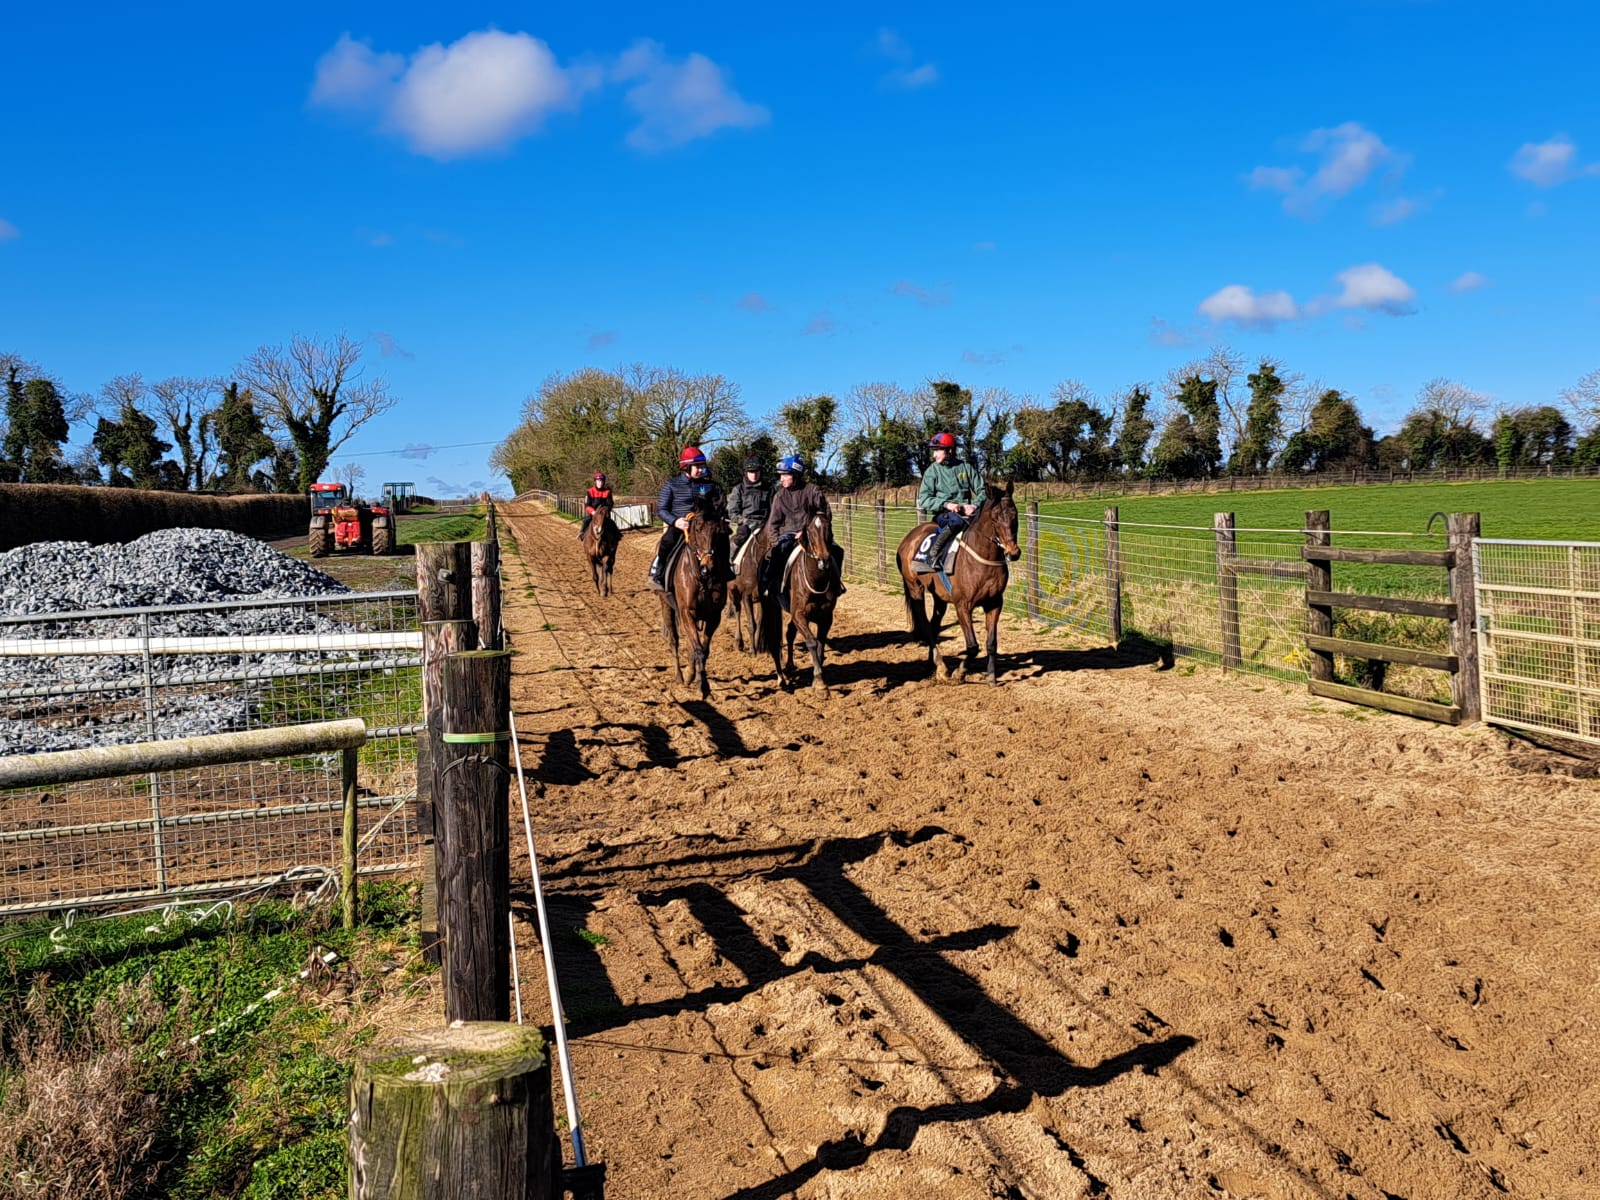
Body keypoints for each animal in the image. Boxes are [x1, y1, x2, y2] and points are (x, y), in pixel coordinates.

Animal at [656, 499, 732, 704]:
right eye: (697, 528)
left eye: (719, 530)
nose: (708, 566)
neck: (701, 577)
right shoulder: (687, 612)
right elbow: (697, 649)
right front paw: (703, 687)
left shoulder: (713, 616)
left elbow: (703, 650)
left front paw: (699, 681)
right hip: (666, 606)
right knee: (674, 640)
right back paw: (680, 676)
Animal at [729, 524, 771, 652]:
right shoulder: (746, 596)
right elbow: (751, 624)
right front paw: (752, 650)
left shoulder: (763, 598)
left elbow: (759, 622)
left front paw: (758, 647)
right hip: (732, 591)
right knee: (737, 610)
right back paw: (738, 642)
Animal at [758, 508, 844, 694]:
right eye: (810, 531)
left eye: (829, 528)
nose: (824, 561)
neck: (815, 581)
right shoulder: (799, 615)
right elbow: (811, 641)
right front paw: (819, 682)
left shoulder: (826, 617)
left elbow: (820, 643)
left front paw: (819, 678)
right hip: (769, 607)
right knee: (774, 642)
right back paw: (781, 678)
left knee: (789, 633)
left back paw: (789, 666)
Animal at [896, 480, 1017, 684]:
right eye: (994, 519)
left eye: (1015, 515)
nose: (1014, 552)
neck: (982, 560)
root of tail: (908, 538)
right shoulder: (963, 606)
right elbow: (973, 646)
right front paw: (959, 673)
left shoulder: (994, 603)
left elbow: (991, 642)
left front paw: (991, 676)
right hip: (915, 588)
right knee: (926, 626)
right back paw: (942, 667)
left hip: (940, 597)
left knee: (934, 624)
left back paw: (931, 664)